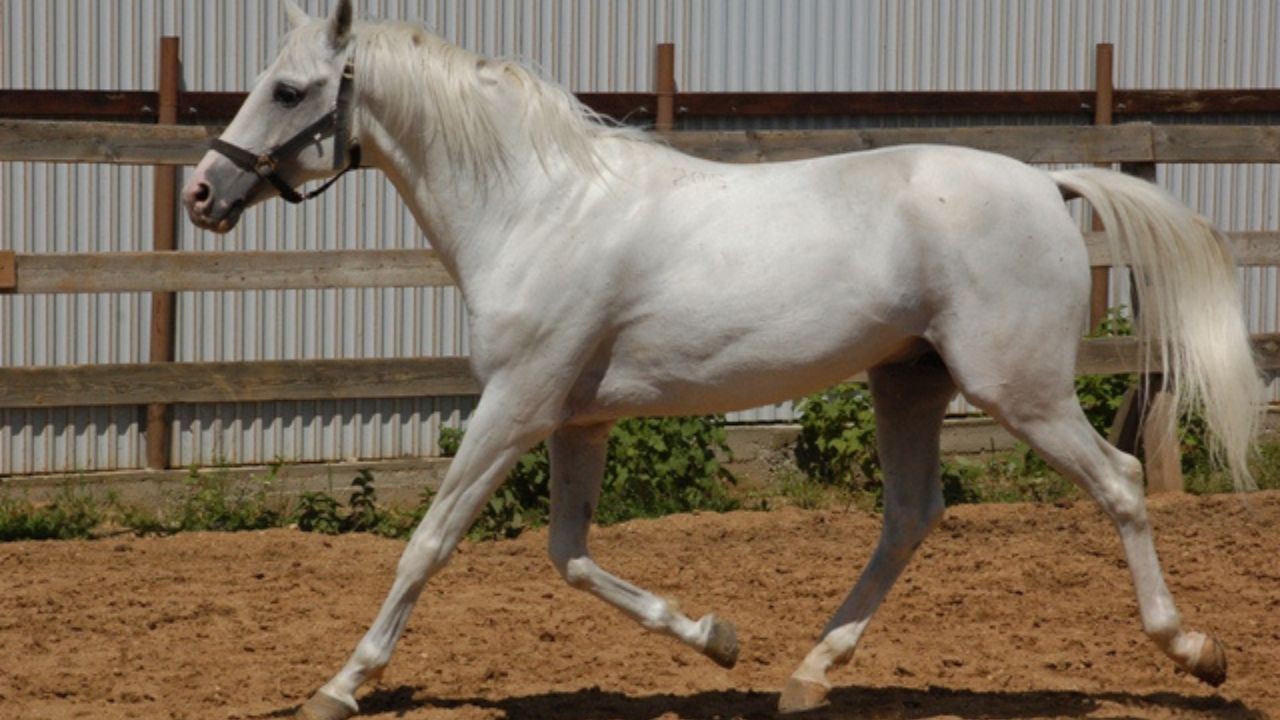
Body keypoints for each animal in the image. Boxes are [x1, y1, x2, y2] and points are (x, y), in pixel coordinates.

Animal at [182, 2, 1262, 718]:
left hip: (1018, 389)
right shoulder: (578, 418)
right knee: (911, 515)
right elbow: (570, 556)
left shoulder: (515, 405)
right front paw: (716, 640)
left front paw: (339, 685)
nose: (201, 192)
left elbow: (429, 542)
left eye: (287, 89)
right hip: (908, 381)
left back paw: (1195, 651)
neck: (538, 209)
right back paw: (806, 674)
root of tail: (1047, 183)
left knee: (1119, 482)